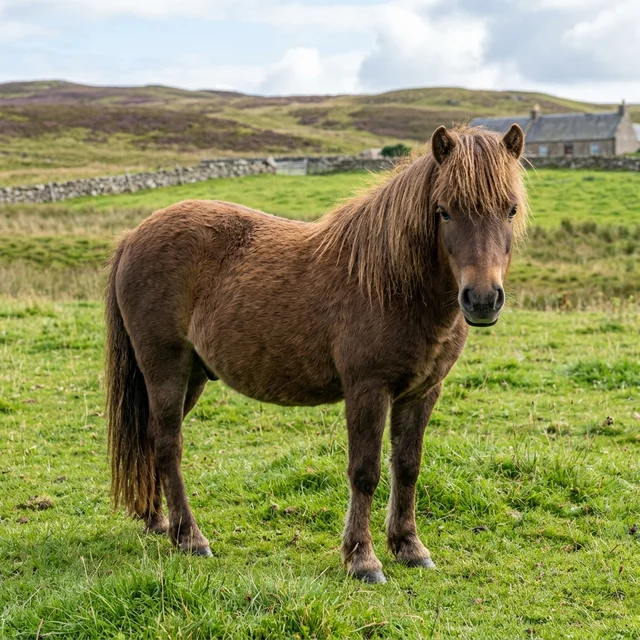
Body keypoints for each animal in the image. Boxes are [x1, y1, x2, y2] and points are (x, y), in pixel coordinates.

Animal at [105, 124, 527, 584]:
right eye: (444, 211)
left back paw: (157, 521)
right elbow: (365, 472)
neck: (390, 283)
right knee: (168, 444)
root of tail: (133, 236)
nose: (482, 300)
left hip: (193, 375)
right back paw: (190, 538)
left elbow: (407, 467)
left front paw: (409, 547)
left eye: (509, 209)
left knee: (152, 439)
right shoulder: (367, 390)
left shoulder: (422, 393)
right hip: (166, 366)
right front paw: (362, 559)